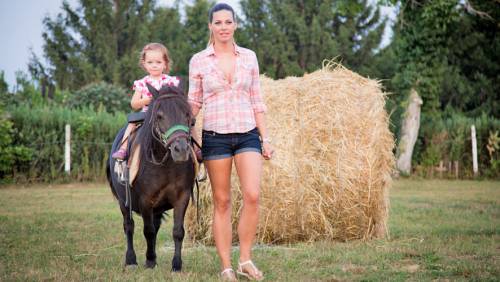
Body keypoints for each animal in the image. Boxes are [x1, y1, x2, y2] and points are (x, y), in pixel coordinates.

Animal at [106, 83, 194, 270]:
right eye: (159, 116)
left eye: (187, 115)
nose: (181, 150)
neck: (165, 165)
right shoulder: (145, 200)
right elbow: (148, 230)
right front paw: (150, 260)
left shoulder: (182, 197)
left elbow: (177, 231)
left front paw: (176, 264)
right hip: (123, 202)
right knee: (129, 226)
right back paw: (131, 260)